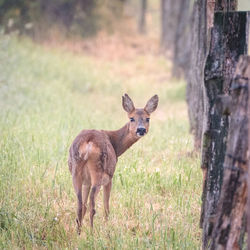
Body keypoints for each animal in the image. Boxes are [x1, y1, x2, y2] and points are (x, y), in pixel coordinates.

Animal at [68, 93, 158, 233]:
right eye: (131, 118)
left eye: (147, 118)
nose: (141, 130)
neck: (115, 146)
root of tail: (88, 143)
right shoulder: (110, 178)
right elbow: (106, 207)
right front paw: (107, 227)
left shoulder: (86, 181)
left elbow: (84, 205)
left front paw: (80, 231)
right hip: (99, 172)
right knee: (92, 204)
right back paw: (92, 233)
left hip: (76, 171)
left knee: (80, 205)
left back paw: (79, 232)